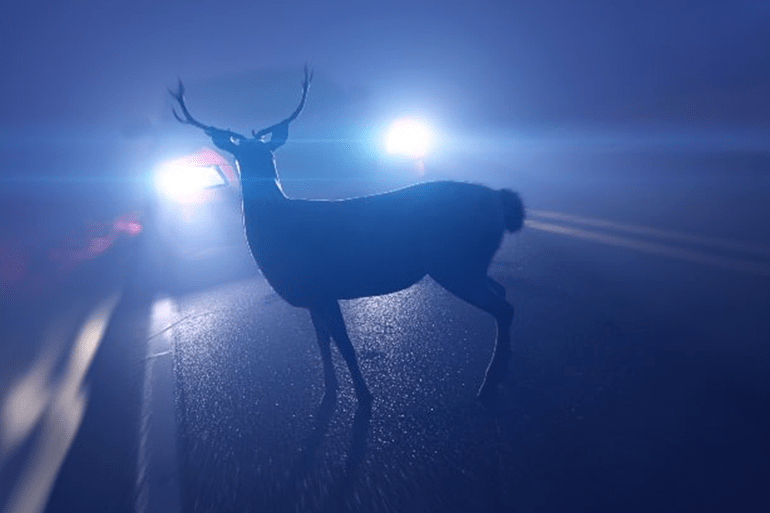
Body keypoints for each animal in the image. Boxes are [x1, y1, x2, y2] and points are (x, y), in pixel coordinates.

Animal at [169, 67, 525, 408]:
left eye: (268, 154)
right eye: (239, 157)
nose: (260, 183)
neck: (278, 231)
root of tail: (500, 199)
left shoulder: (323, 288)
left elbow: (345, 345)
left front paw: (364, 396)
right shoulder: (313, 295)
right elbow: (322, 345)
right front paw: (329, 392)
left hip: (455, 262)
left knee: (503, 308)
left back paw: (487, 383)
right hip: (470, 262)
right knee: (503, 293)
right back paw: (503, 370)